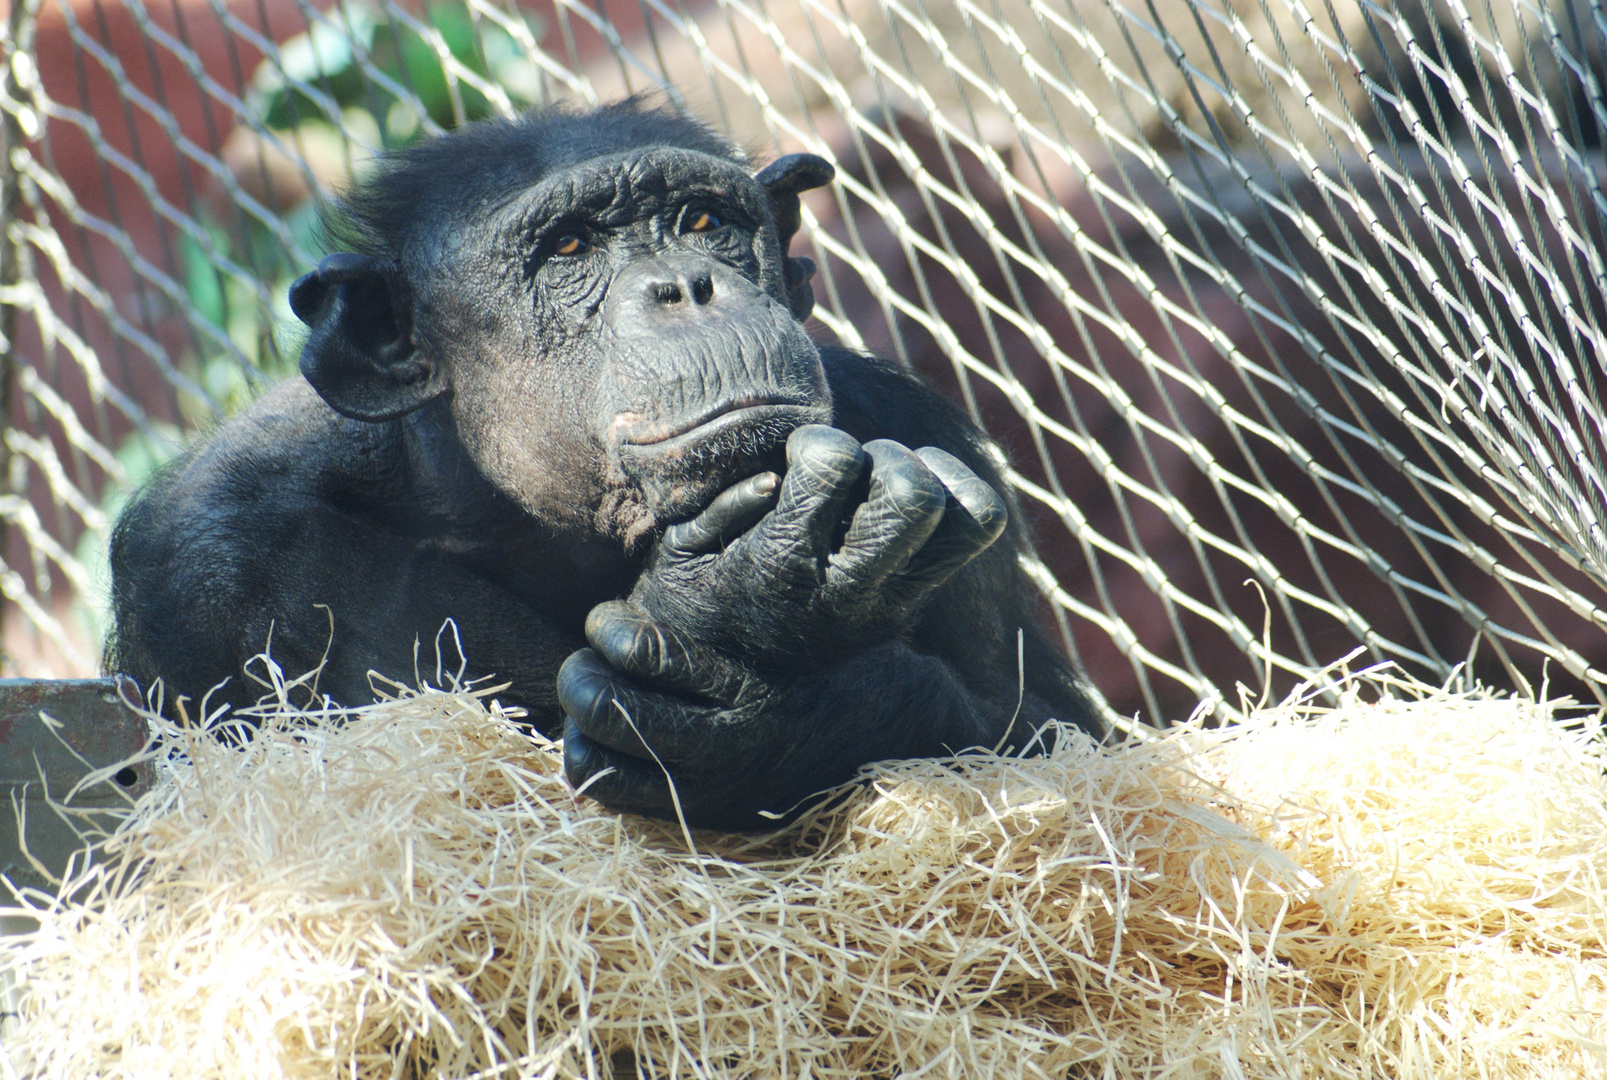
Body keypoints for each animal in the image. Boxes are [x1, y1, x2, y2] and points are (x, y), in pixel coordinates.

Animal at [106, 99, 1099, 829]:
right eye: (571, 248)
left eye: (703, 220)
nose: (685, 287)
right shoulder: (209, 558)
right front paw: (756, 622)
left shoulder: (911, 422)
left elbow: (1049, 737)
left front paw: (778, 699)